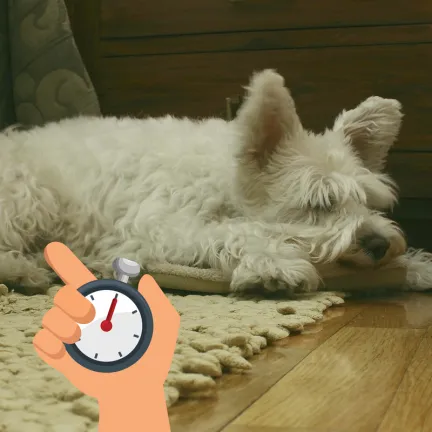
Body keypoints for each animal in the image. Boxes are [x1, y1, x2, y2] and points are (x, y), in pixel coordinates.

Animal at [0, 70, 432, 294]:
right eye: (319, 204)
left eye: (369, 201)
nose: (379, 244)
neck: (227, 180)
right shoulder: (157, 228)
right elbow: (233, 233)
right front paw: (274, 266)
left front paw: (417, 266)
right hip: (29, 196)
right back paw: (23, 272)